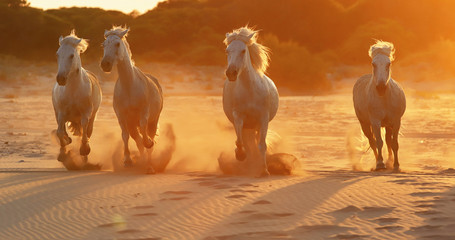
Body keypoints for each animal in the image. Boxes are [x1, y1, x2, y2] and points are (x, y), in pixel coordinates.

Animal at [53, 29, 102, 161]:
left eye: (72, 55)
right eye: (58, 54)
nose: (61, 79)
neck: (73, 91)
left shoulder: (86, 113)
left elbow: (85, 130)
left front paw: (84, 149)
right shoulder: (61, 113)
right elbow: (59, 131)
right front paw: (65, 143)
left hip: (93, 115)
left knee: (88, 130)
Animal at [101, 26, 164, 173]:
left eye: (117, 44)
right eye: (104, 44)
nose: (105, 64)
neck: (129, 85)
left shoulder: (144, 113)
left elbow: (145, 135)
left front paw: (148, 143)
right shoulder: (122, 116)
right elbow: (125, 136)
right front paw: (128, 161)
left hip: (154, 120)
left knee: (149, 136)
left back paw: (149, 165)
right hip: (132, 124)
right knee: (138, 140)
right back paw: (142, 161)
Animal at [223, 26, 280, 176]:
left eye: (243, 50)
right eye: (227, 51)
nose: (231, 73)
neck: (250, 90)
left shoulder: (263, 118)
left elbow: (262, 145)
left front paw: (264, 170)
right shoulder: (238, 116)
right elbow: (240, 142)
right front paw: (240, 155)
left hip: (256, 126)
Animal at [354, 40, 408, 171]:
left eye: (388, 64)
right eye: (373, 64)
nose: (381, 88)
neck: (384, 99)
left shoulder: (396, 121)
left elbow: (394, 143)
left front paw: (396, 165)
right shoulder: (375, 122)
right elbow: (379, 142)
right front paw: (380, 164)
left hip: (388, 125)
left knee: (388, 141)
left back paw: (389, 161)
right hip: (365, 124)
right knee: (372, 142)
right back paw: (379, 163)